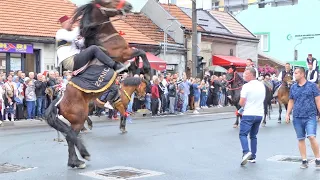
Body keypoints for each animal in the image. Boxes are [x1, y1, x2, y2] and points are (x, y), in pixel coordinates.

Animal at [43, 0, 151, 169]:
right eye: (110, 1)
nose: (128, 6)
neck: (103, 37)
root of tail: (58, 102)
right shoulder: (124, 53)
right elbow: (140, 52)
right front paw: (146, 70)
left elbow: (135, 63)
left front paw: (141, 69)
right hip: (79, 117)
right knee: (71, 135)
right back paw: (81, 157)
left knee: (70, 137)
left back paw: (75, 161)